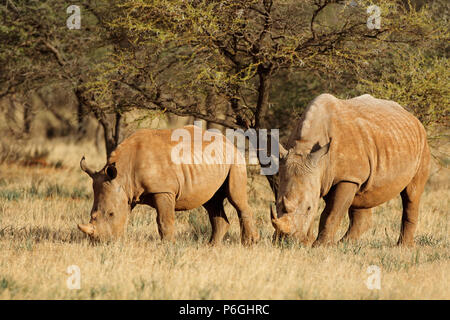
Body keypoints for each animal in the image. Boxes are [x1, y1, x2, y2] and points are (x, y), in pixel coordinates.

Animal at [79, 125, 258, 245]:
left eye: (111, 214)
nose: (100, 242)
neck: (123, 174)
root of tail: (229, 142)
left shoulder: (163, 190)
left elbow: (164, 220)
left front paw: (168, 246)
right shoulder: (126, 193)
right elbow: (126, 217)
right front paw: (119, 240)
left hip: (235, 160)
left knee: (236, 198)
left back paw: (249, 244)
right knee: (211, 201)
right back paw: (211, 247)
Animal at [272, 94, 430, 246]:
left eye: (309, 208)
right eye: (277, 204)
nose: (287, 241)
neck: (305, 147)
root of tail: (412, 116)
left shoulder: (348, 177)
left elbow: (331, 213)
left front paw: (320, 245)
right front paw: (303, 242)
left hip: (422, 144)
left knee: (412, 194)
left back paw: (403, 246)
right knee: (362, 197)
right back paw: (345, 244)